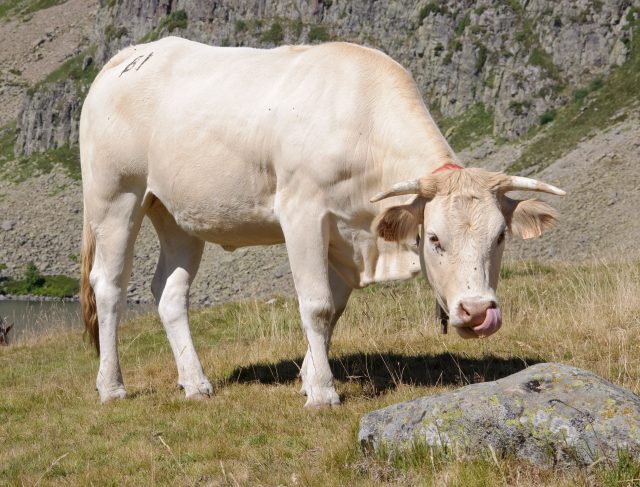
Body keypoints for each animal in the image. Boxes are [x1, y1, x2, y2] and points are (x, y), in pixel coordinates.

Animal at [80, 37, 564, 408]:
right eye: (434, 239)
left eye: (499, 237)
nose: (479, 313)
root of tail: (125, 58)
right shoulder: (302, 212)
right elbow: (316, 305)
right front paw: (324, 394)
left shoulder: (349, 237)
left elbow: (334, 310)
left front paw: (310, 377)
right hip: (116, 196)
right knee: (109, 287)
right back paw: (111, 386)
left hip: (177, 214)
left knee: (169, 293)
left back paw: (196, 383)